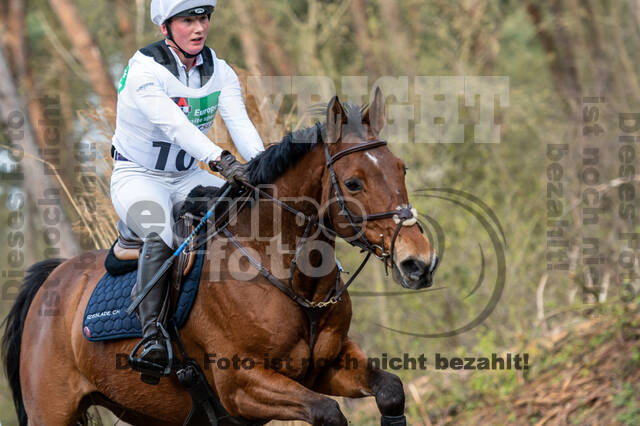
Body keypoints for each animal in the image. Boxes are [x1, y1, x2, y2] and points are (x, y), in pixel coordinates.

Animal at [1, 88, 436, 424]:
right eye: (353, 182)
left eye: (401, 169)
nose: (419, 262)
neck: (291, 277)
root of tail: (53, 277)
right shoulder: (243, 386)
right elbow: (328, 413)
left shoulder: (327, 366)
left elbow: (392, 391)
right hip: (51, 413)